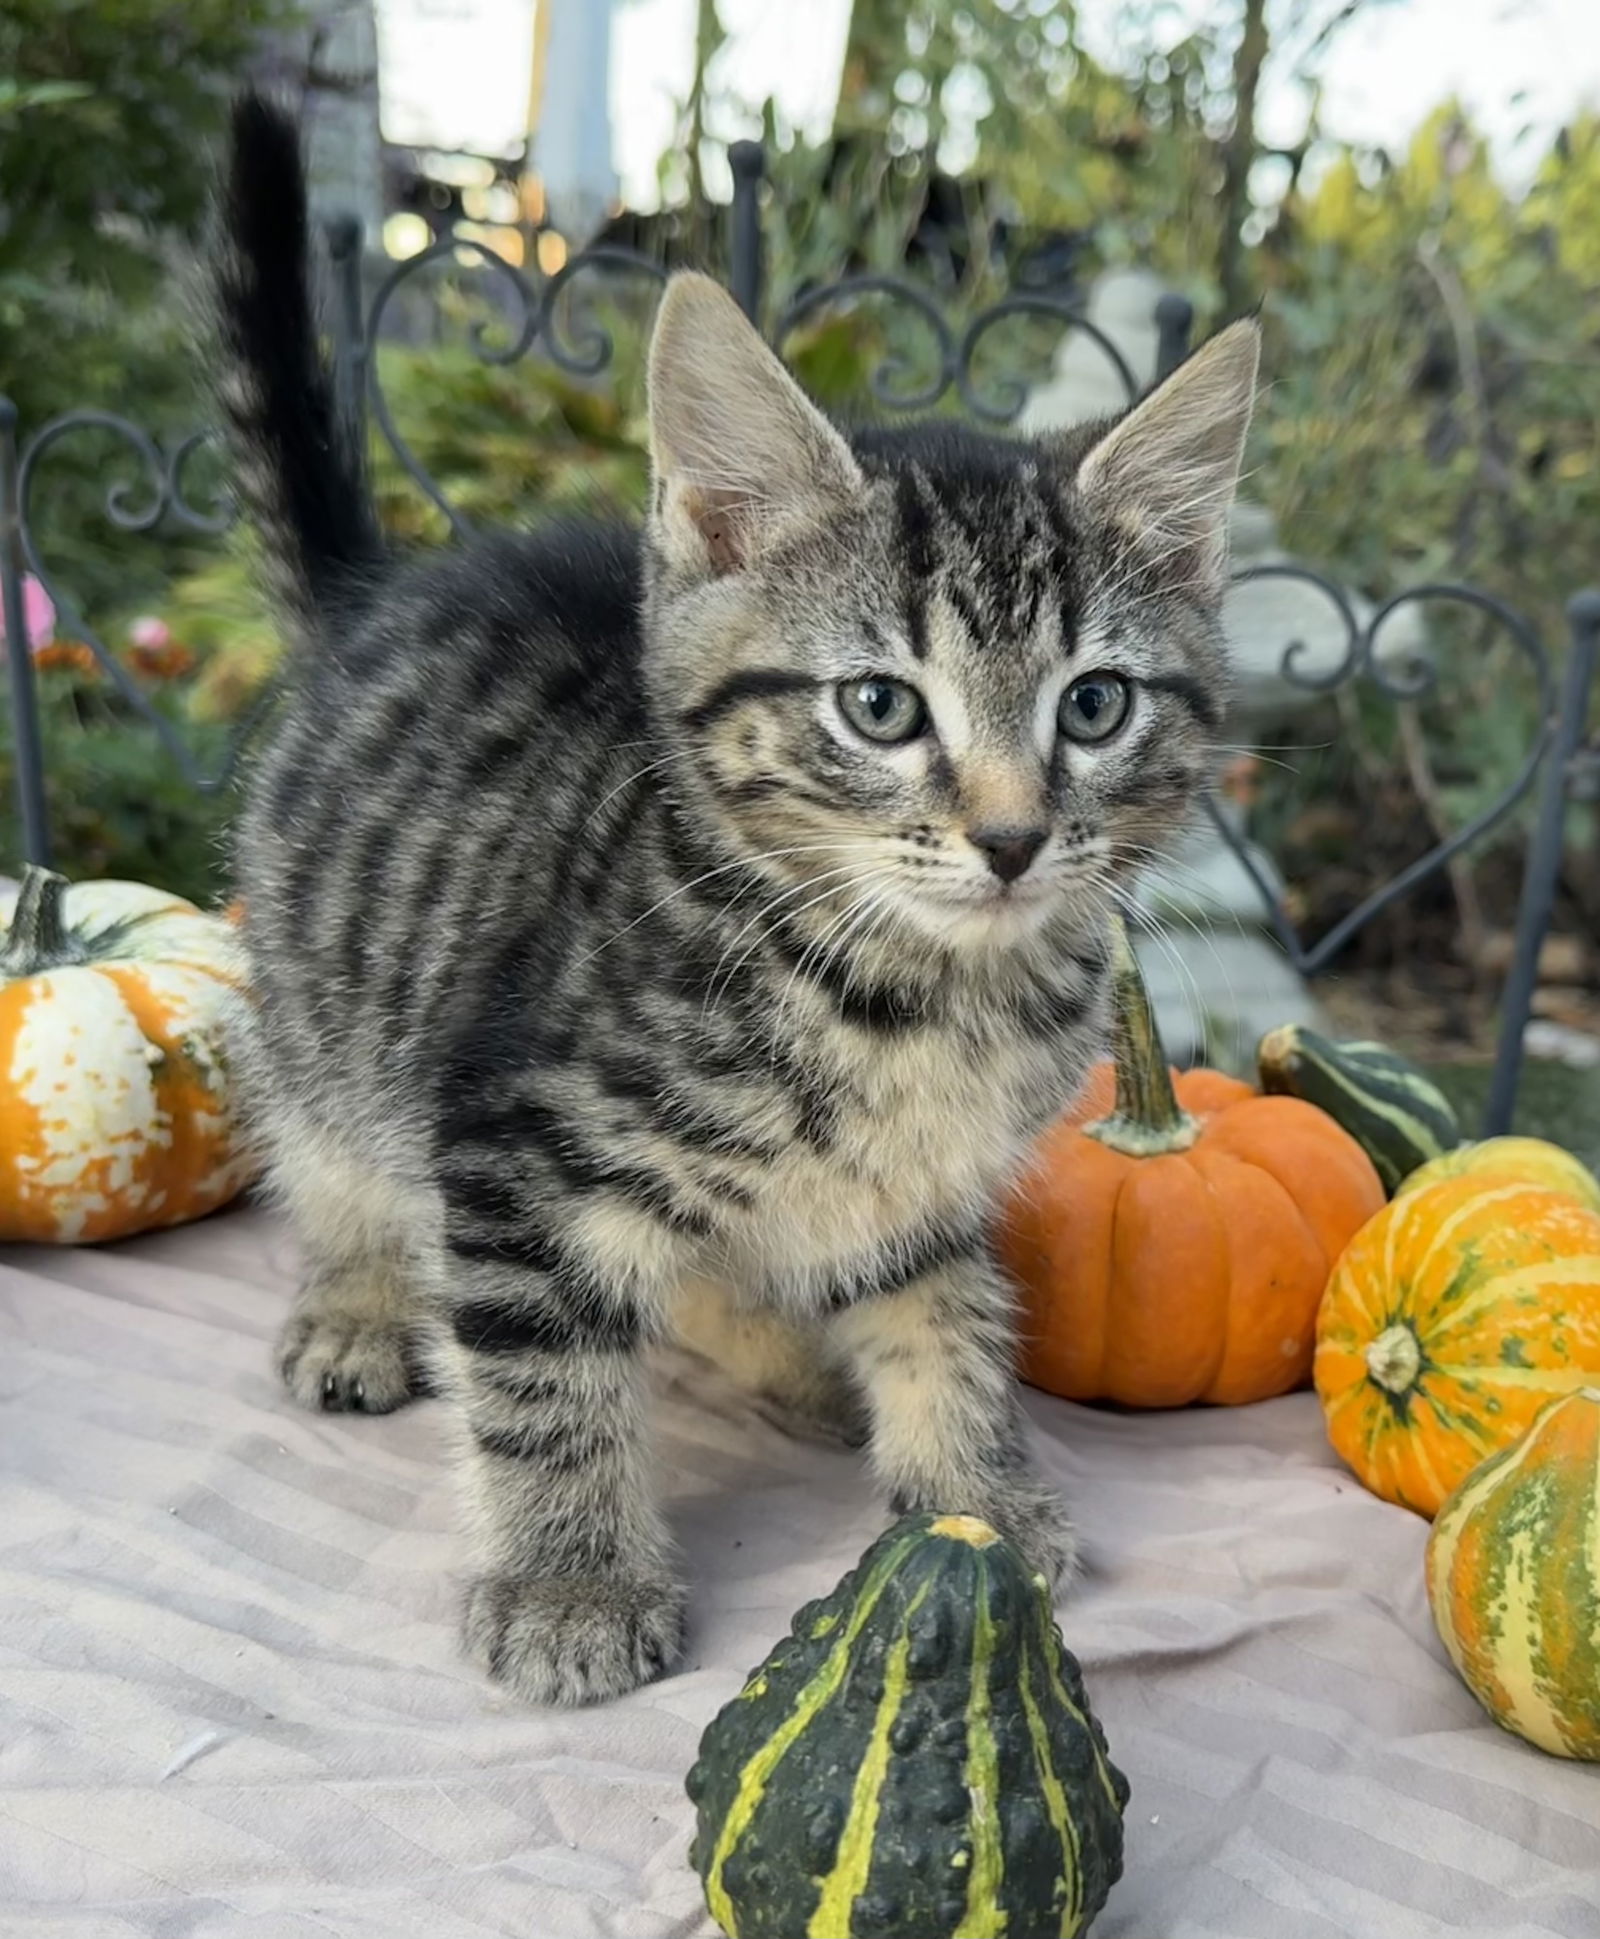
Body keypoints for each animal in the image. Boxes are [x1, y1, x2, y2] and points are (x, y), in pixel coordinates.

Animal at [218, 94, 1256, 1698]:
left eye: (1093, 706)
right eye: (881, 706)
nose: (1014, 839)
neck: (918, 992)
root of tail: (375, 598)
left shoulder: (927, 1187)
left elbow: (949, 1311)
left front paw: (975, 1483)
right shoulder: (512, 1135)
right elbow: (544, 1374)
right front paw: (571, 1579)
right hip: (325, 994)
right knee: (332, 1146)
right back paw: (359, 1300)